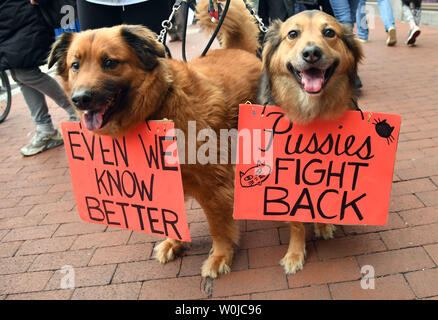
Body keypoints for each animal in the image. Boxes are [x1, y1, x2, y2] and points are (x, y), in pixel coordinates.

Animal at [47, 0, 260, 278]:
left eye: (109, 62)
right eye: (75, 65)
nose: (80, 99)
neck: (157, 107)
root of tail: (239, 50)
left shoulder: (213, 184)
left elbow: (218, 225)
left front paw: (220, 255)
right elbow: (170, 218)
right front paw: (174, 242)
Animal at [256, 10, 362, 276]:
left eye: (329, 33)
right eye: (293, 34)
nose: (312, 53)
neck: (312, 114)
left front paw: (322, 225)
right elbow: (296, 223)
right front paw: (295, 254)